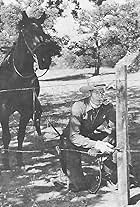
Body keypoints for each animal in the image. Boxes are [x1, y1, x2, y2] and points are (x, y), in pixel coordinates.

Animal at [0, 11, 61, 156]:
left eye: (43, 32)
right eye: (26, 33)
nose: (44, 59)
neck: (15, 80)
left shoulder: (26, 111)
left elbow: (20, 136)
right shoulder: (3, 111)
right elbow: (6, 138)